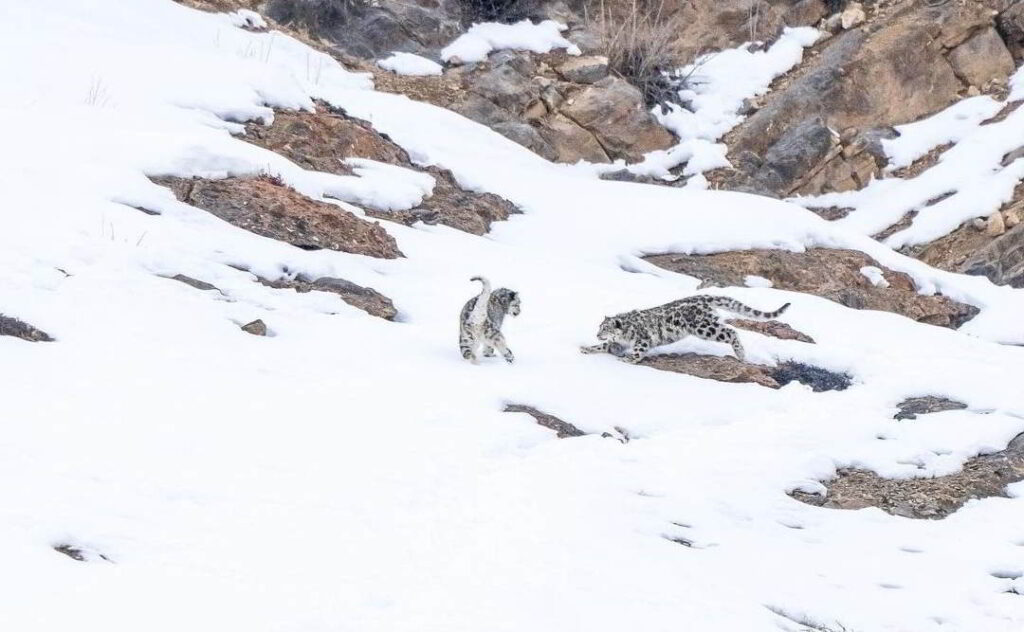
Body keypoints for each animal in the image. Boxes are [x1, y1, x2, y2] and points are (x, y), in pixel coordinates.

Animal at [581, 295, 786, 364]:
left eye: (605, 328)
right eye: (600, 327)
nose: (597, 334)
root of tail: (703, 298)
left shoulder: (642, 339)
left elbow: (638, 351)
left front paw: (629, 359)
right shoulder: (617, 343)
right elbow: (604, 347)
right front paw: (585, 348)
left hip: (704, 328)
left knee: (731, 331)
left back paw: (741, 354)